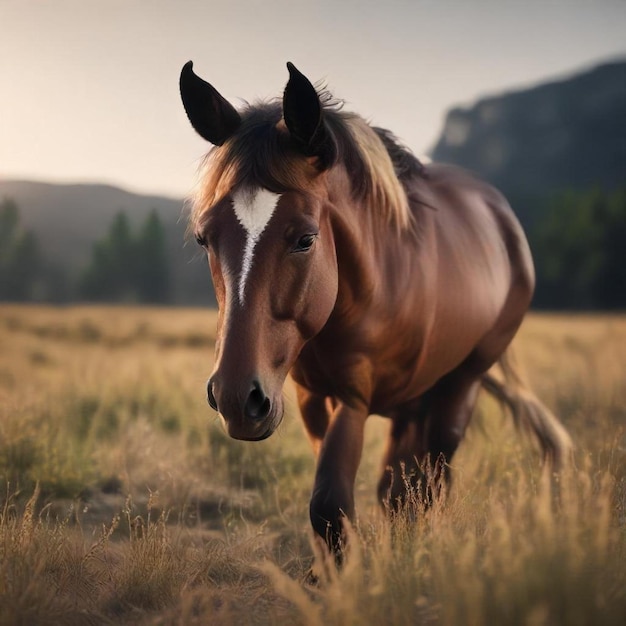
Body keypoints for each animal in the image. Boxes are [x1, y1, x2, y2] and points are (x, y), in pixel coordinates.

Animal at [177, 62, 572, 552]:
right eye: (204, 238)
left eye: (305, 238)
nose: (235, 398)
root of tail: (503, 218)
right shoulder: (311, 398)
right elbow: (344, 502)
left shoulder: (354, 397)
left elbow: (329, 507)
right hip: (413, 398)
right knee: (401, 490)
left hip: (462, 383)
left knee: (432, 476)